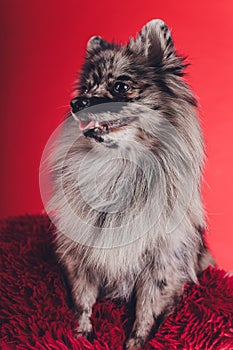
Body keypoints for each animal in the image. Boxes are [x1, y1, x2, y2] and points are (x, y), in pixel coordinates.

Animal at [47, 19, 215, 350]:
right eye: (86, 87)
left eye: (120, 87)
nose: (76, 102)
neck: (119, 166)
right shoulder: (81, 256)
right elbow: (83, 299)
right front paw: (81, 334)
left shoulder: (161, 266)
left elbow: (146, 311)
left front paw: (136, 342)